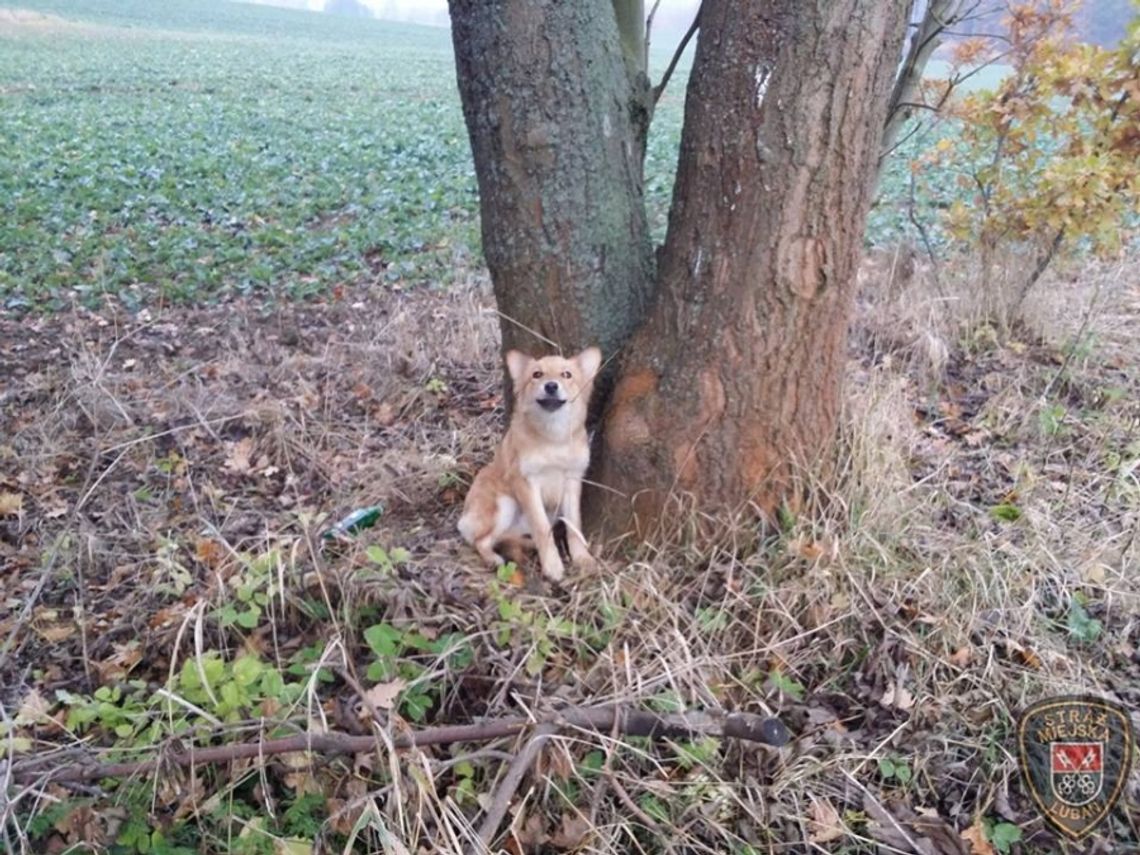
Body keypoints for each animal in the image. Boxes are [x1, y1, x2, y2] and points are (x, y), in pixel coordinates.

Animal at [460, 348, 606, 583]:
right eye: (537, 374)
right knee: (481, 540)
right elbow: (541, 527)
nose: (551, 386)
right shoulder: (526, 482)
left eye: (566, 374)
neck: (553, 439)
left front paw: (582, 558)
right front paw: (552, 565)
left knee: (506, 538)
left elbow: (574, 525)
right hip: (505, 504)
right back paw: (493, 558)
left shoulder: (572, 480)